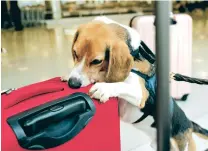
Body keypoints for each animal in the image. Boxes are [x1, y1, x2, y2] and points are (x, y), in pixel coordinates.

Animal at [62, 16, 208, 151]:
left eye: (97, 61)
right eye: (74, 53)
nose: (73, 83)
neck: (135, 53)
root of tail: (190, 124)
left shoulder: (140, 95)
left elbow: (120, 84)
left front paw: (103, 88)